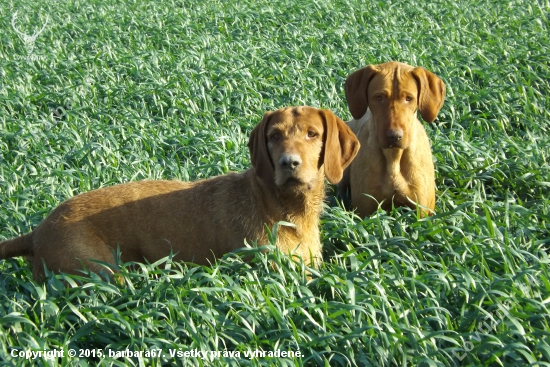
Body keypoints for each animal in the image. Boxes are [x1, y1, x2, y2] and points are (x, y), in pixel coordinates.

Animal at [0, 106, 362, 282]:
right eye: (274, 136)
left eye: (313, 134)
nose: (289, 163)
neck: (288, 210)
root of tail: (36, 232)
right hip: (102, 273)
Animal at [340, 61, 448, 217]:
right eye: (379, 97)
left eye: (408, 98)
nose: (394, 136)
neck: (393, 157)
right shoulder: (364, 212)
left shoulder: (423, 213)